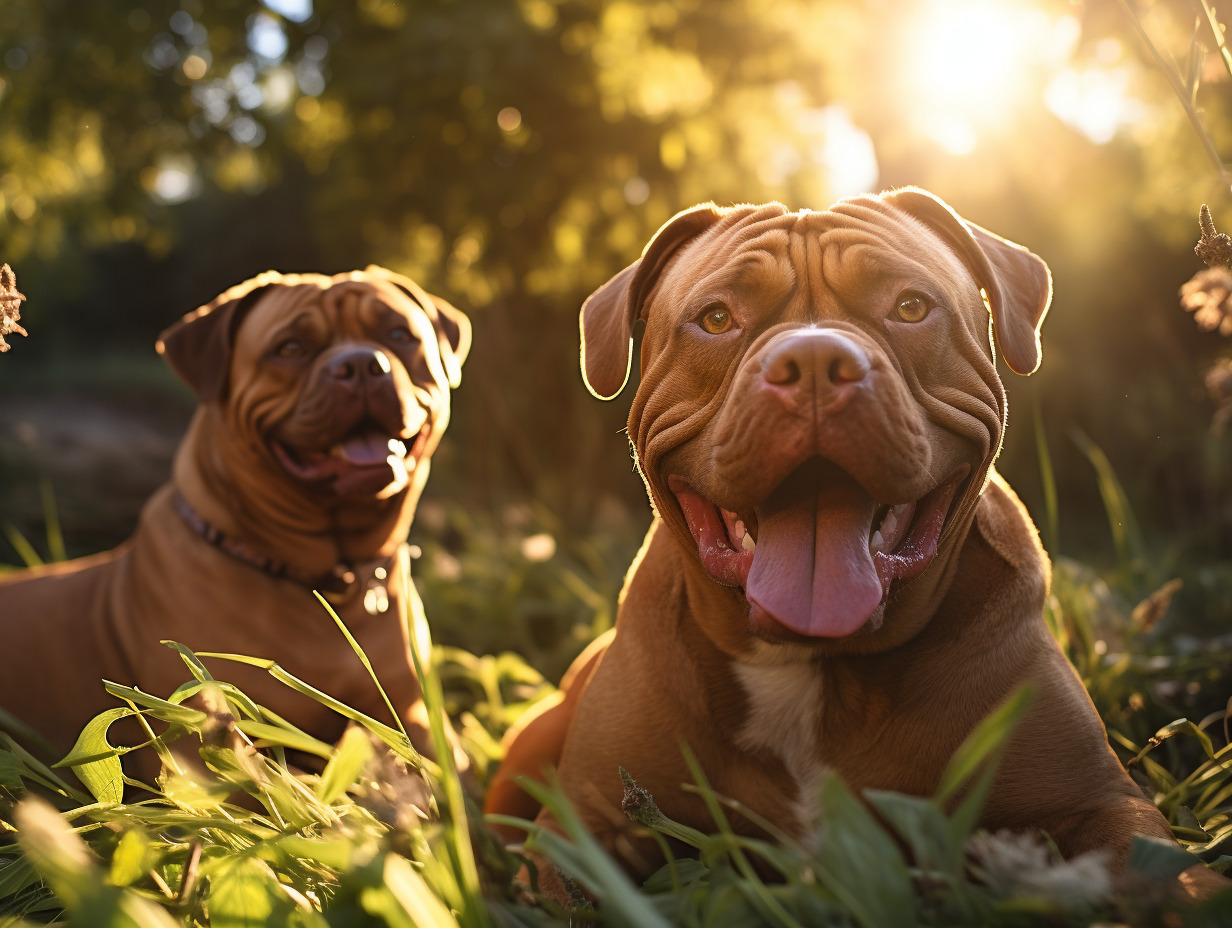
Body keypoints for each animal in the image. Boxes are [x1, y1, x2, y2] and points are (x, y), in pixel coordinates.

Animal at [0, 266, 468, 769]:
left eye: (399, 335)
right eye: (290, 348)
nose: (362, 364)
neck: (332, 578)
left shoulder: (418, 719)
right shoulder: (202, 729)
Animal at [485, 188, 1227, 892]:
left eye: (910, 306)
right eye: (717, 319)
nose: (814, 361)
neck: (816, 666)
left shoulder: (1096, 802)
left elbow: (1168, 877)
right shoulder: (586, 830)